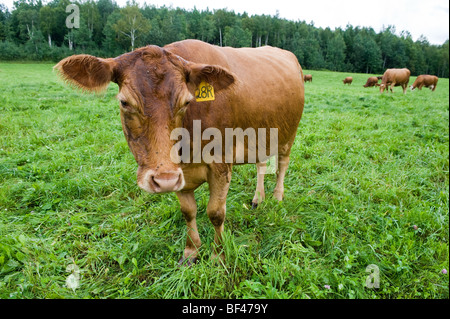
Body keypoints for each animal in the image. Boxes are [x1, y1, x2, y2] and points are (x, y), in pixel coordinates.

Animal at [54, 39, 304, 264]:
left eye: (186, 102)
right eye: (125, 102)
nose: (163, 179)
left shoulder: (221, 165)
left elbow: (216, 213)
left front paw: (218, 255)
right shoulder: (178, 173)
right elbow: (188, 211)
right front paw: (191, 251)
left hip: (288, 135)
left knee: (282, 165)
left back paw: (277, 196)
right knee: (262, 164)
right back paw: (258, 198)